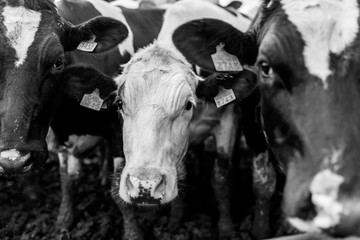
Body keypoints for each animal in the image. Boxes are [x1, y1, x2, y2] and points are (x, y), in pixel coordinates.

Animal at [112, 0, 278, 238]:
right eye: (120, 103)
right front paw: (175, 221)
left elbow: (221, 179)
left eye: (187, 104)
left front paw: (226, 228)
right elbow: (182, 174)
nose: (145, 187)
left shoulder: (227, 121)